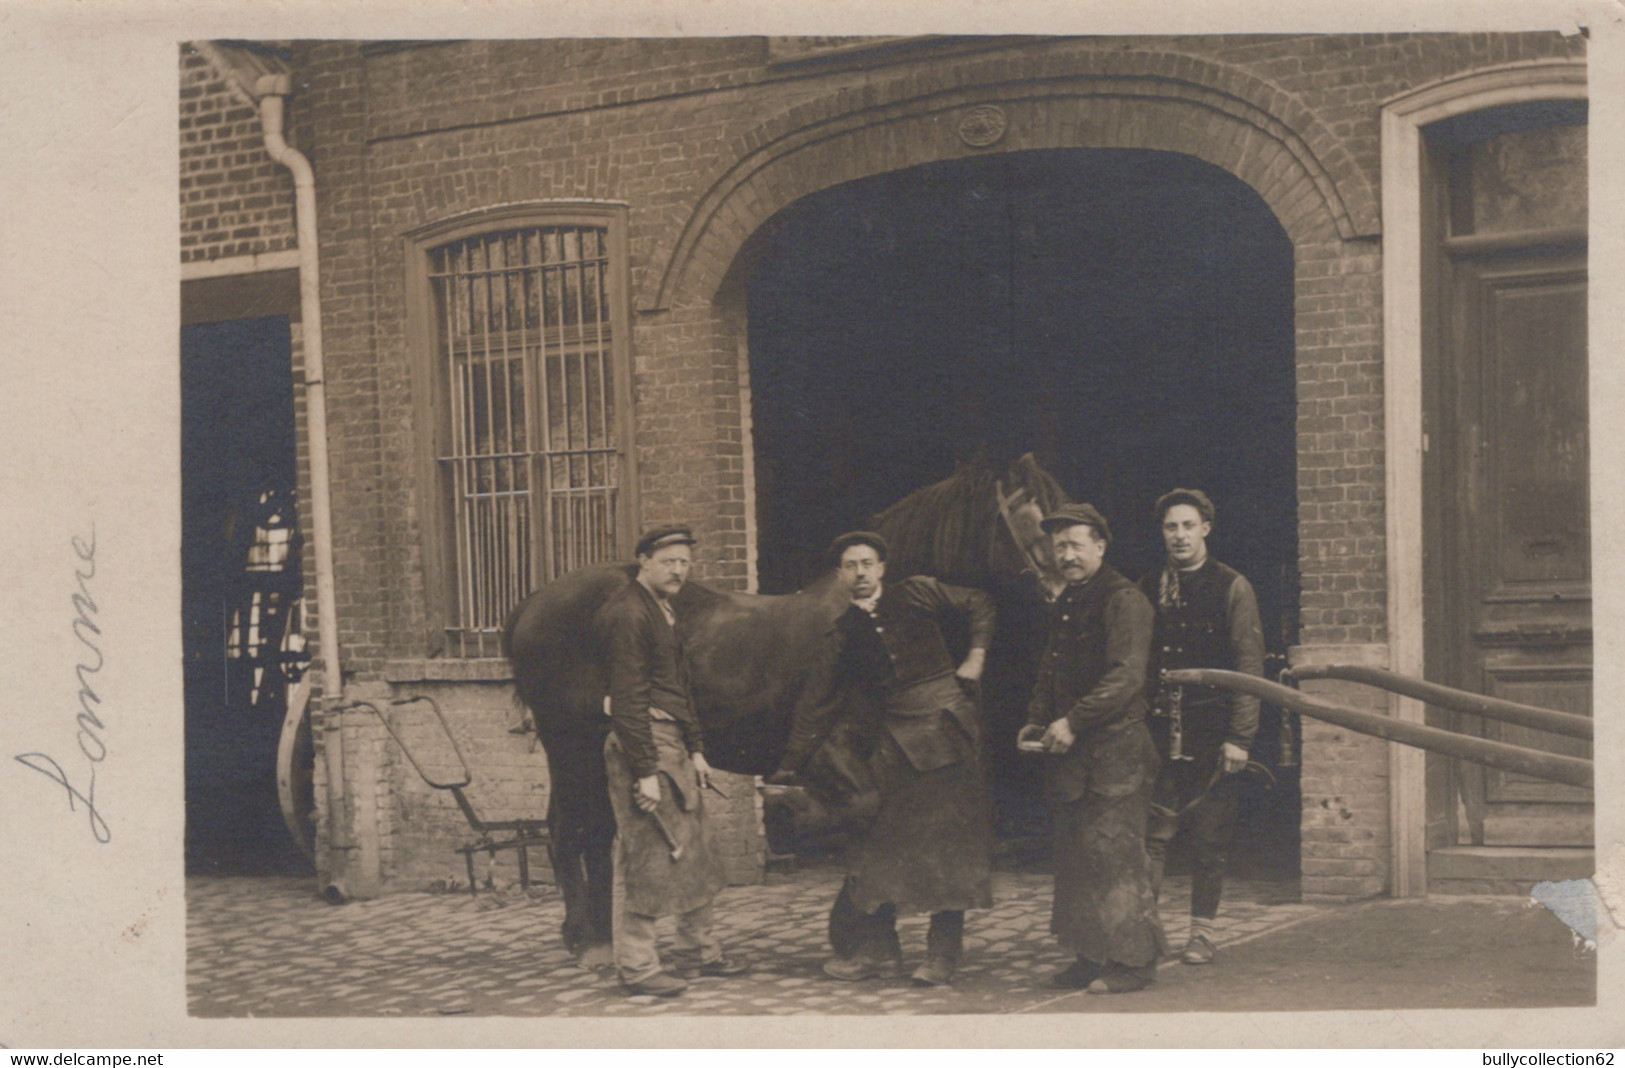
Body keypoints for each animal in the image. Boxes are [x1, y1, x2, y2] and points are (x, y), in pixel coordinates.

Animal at [503, 448, 1066, 955]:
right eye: (1026, 518)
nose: (1064, 585)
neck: (869, 621)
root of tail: (531, 603)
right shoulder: (828, 750)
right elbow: (856, 811)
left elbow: (872, 821)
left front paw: (861, 927)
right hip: (571, 746)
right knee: (571, 830)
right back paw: (587, 939)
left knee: (592, 831)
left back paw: (595, 934)